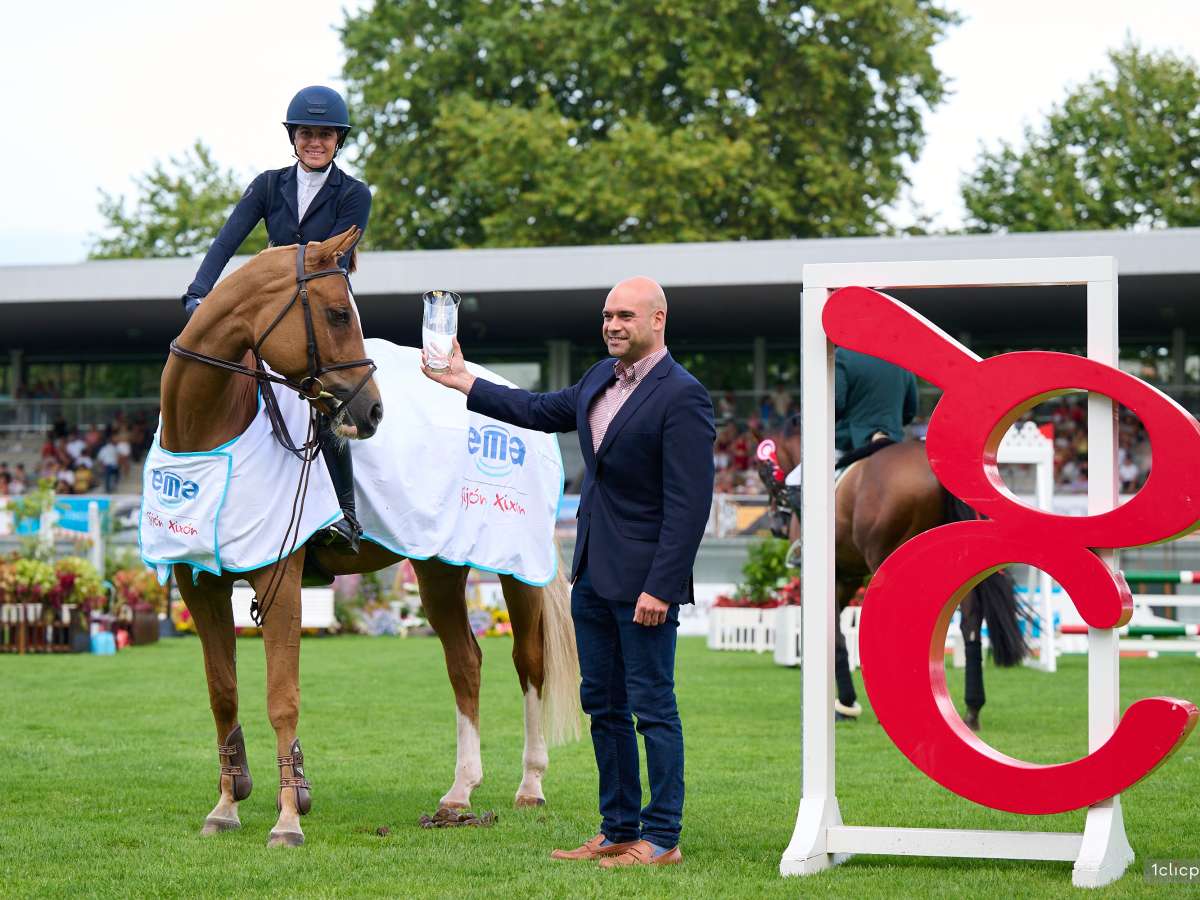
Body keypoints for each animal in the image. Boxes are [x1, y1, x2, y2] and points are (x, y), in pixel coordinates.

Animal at [163, 229, 580, 849]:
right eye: (338, 313)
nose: (372, 409)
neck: (213, 433)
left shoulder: (280, 579)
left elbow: (281, 699)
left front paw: (287, 820)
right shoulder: (200, 587)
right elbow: (223, 693)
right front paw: (227, 806)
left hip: (514, 567)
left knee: (528, 661)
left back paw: (530, 784)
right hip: (437, 566)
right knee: (466, 661)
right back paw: (460, 793)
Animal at [758, 427, 1022, 729]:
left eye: (764, 476)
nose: (776, 527)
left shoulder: (837, 577)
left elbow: (837, 636)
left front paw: (845, 704)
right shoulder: (847, 578)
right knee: (970, 622)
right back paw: (971, 709)